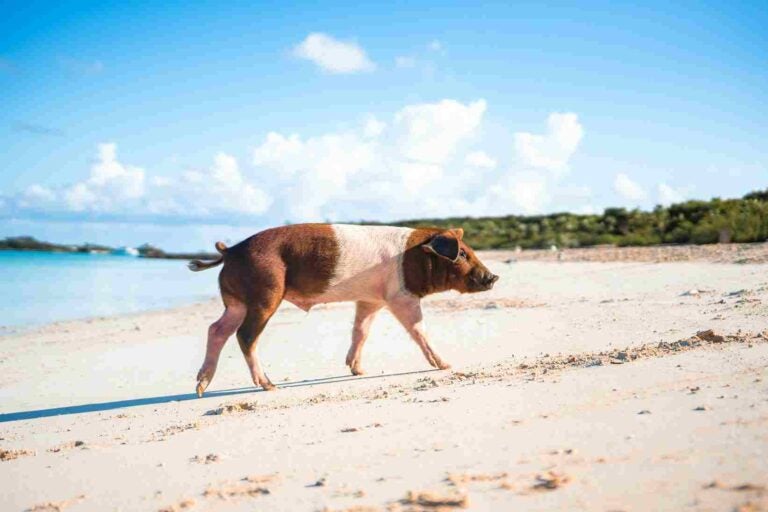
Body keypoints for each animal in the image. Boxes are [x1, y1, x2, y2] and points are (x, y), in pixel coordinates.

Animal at [188, 224, 499, 397]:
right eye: (461, 254)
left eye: (470, 251)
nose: (493, 277)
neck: (416, 257)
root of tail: (230, 251)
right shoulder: (400, 296)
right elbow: (418, 330)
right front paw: (446, 365)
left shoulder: (371, 299)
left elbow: (361, 330)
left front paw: (358, 371)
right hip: (264, 295)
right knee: (245, 335)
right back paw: (270, 386)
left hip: (237, 302)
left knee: (216, 329)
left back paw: (201, 388)